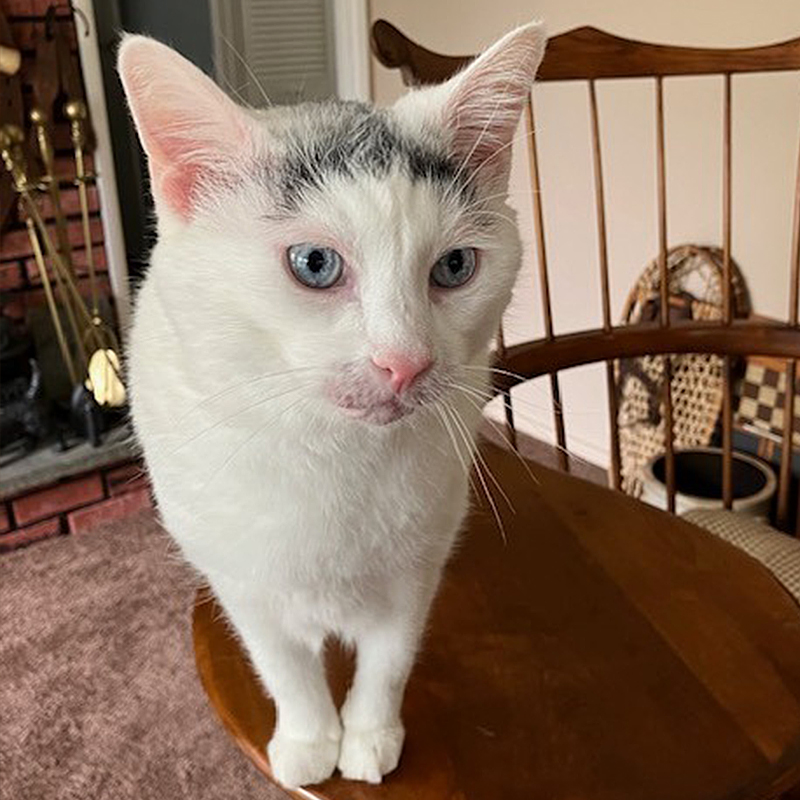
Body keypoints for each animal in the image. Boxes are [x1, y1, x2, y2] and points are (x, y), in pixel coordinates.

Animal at [117, 21, 544, 792]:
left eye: (455, 267)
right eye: (314, 264)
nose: (405, 362)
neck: (334, 454)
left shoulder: (416, 572)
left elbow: (388, 663)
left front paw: (369, 739)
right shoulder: (243, 583)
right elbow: (284, 668)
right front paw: (310, 741)